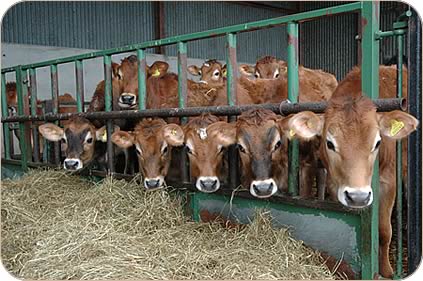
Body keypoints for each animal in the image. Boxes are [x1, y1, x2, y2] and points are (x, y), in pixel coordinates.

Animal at [288, 64, 418, 276]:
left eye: (378, 142)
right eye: (330, 143)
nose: (358, 197)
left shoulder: (389, 180)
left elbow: (384, 231)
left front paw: (386, 271)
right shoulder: (334, 183)